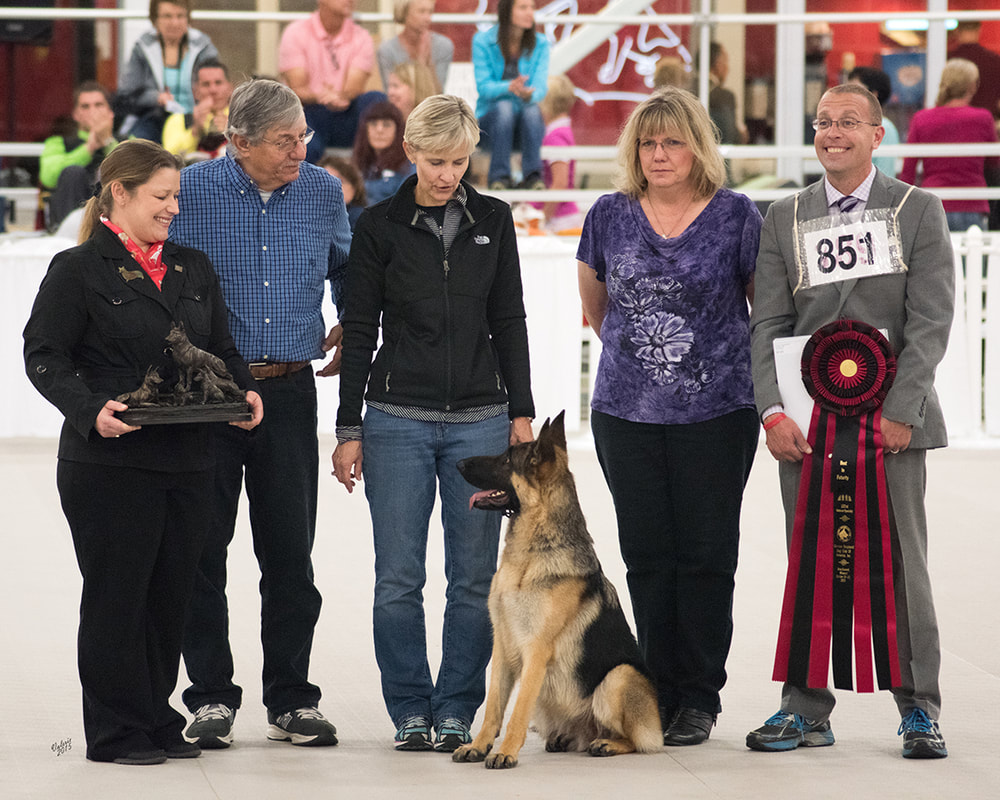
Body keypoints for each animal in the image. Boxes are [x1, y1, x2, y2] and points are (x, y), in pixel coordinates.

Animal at [456, 412, 664, 768]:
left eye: (506, 459)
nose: (458, 463)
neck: (531, 553)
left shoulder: (535, 652)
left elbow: (516, 713)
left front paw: (505, 751)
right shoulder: (502, 648)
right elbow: (494, 707)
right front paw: (479, 746)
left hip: (618, 678)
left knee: (639, 740)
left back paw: (608, 743)